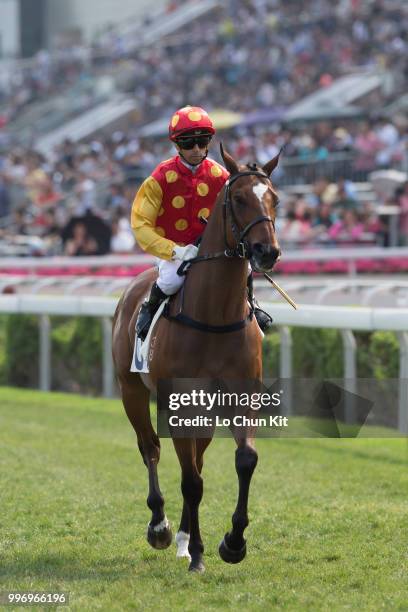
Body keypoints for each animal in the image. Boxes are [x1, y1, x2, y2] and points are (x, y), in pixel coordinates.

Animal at [113, 145, 282, 572]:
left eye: (274, 199)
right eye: (238, 198)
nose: (267, 252)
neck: (215, 316)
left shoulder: (241, 397)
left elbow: (244, 459)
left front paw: (232, 542)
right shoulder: (179, 401)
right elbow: (190, 480)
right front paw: (199, 553)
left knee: (197, 459)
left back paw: (185, 537)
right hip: (131, 390)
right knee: (151, 448)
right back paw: (161, 527)